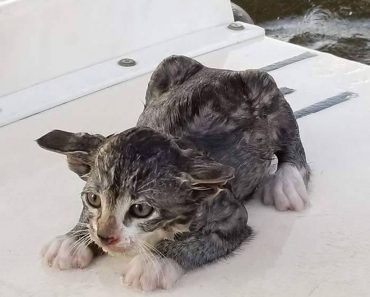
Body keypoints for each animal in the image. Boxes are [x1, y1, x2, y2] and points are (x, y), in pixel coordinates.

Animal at [37, 55, 310, 290]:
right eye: (93, 199)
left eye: (140, 209)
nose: (105, 237)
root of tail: (221, 70)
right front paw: (73, 240)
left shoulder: (230, 213)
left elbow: (197, 242)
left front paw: (155, 263)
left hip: (262, 87)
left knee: (289, 134)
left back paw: (288, 181)